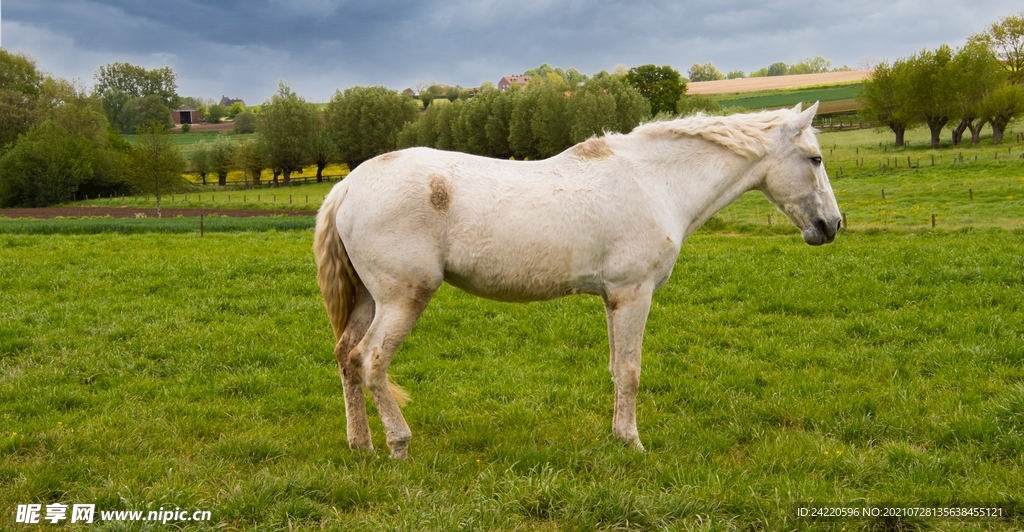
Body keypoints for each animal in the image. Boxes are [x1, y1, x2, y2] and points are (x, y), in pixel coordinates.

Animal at [314, 102, 841, 459]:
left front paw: (617, 436)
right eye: (815, 159)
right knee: (370, 360)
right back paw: (399, 444)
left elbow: (615, 369)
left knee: (346, 357)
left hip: (369, 301)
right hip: (404, 299)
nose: (833, 225)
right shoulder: (633, 295)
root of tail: (348, 186)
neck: (655, 181)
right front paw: (631, 443)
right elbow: (630, 371)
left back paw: (360, 444)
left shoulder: (613, 299)